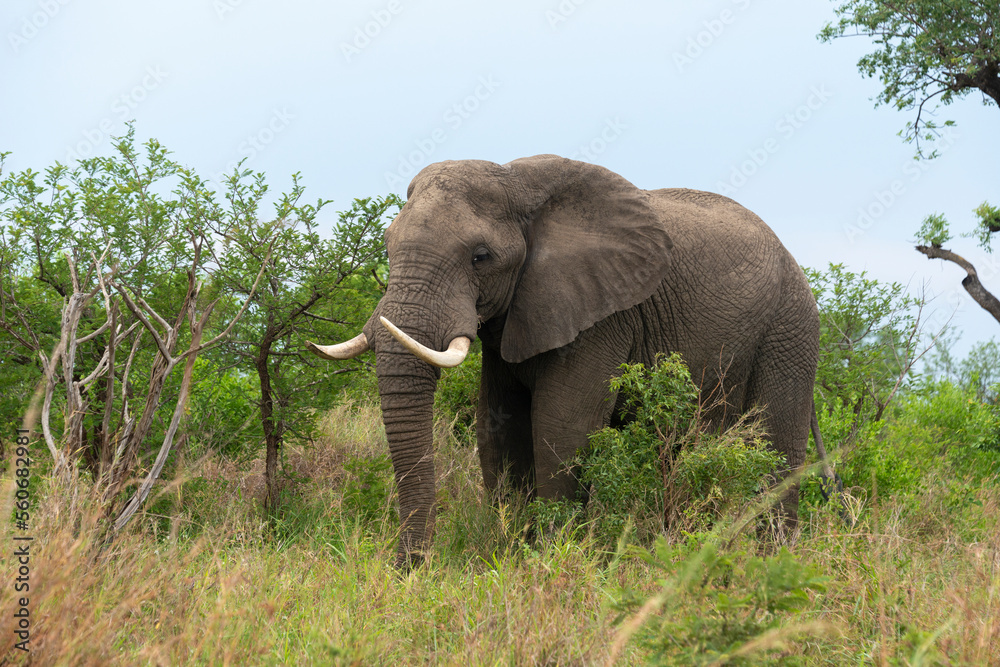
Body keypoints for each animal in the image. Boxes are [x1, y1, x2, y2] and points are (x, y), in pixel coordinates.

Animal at [309, 155, 819, 567]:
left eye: (480, 257)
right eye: (387, 246)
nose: (409, 571)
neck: (517, 184)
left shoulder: (604, 315)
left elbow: (561, 425)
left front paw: (552, 560)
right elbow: (499, 427)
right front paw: (511, 553)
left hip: (790, 331)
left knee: (777, 446)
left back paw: (771, 561)